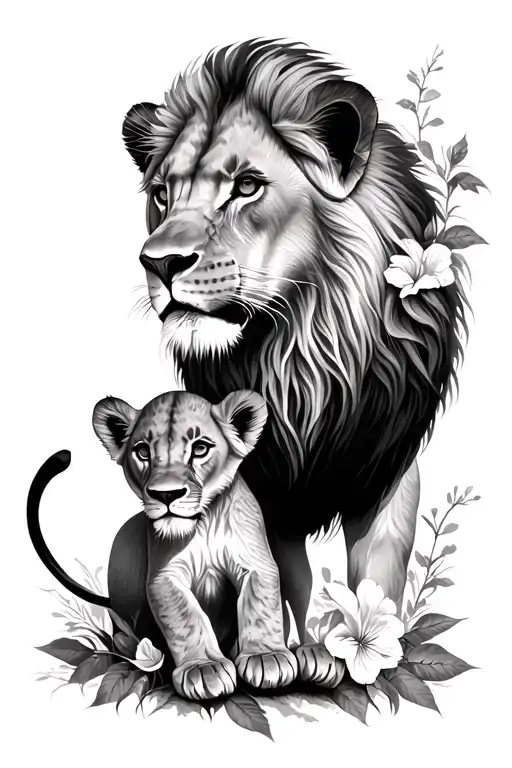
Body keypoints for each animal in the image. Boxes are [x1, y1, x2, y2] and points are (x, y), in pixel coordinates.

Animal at [27, 389, 307, 700]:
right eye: (143, 451)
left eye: (200, 448)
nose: (166, 494)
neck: (203, 524)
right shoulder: (164, 576)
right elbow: (186, 617)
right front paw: (204, 668)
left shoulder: (255, 562)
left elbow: (260, 604)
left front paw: (266, 657)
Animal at [118, 39, 468, 683]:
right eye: (162, 194)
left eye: (247, 186)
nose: (158, 263)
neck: (302, 354)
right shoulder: (268, 489)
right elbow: (289, 579)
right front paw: (299, 650)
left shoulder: (388, 466)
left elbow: (377, 573)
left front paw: (369, 654)